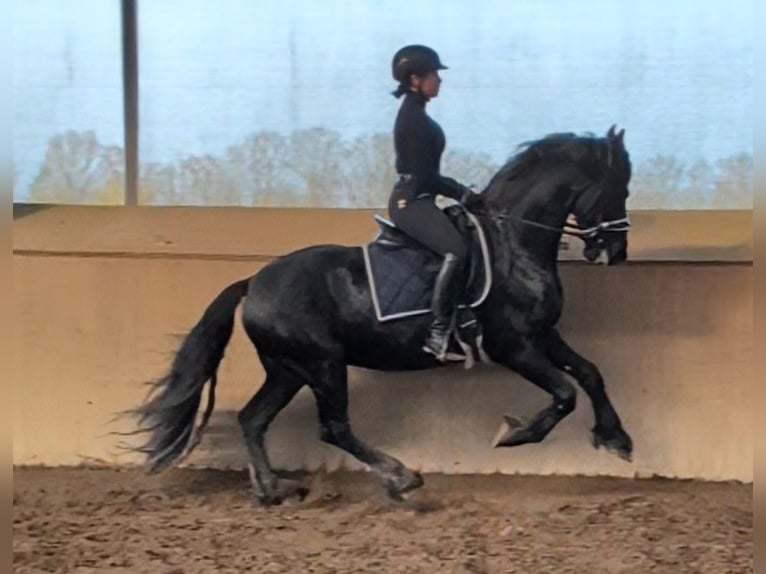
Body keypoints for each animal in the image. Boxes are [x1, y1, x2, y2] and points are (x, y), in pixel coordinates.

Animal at [130, 125, 634, 505]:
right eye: (619, 187)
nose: (617, 252)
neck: (513, 242)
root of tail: (253, 283)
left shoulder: (542, 335)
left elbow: (590, 374)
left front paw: (617, 439)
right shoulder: (513, 346)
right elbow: (565, 393)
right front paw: (513, 433)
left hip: (287, 370)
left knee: (253, 419)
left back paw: (274, 489)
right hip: (323, 364)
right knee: (333, 428)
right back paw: (400, 477)